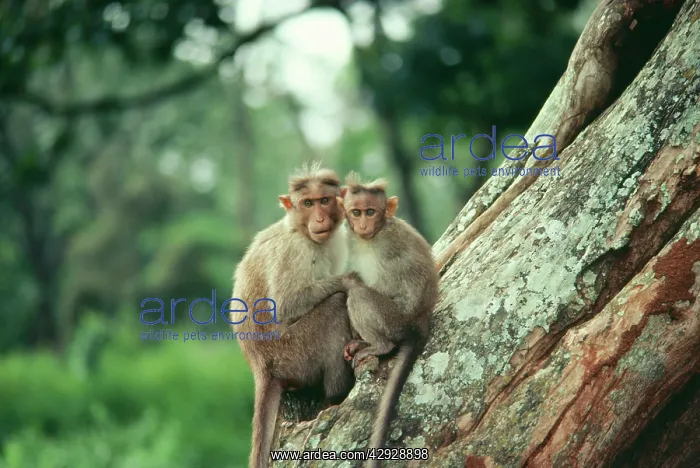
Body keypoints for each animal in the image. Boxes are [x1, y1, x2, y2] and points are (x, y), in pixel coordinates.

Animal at [231, 162, 356, 468]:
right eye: (307, 203)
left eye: (324, 200)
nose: (320, 218)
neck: (300, 230)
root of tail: (260, 366)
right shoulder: (293, 251)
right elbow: (288, 305)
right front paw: (351, 279)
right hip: (293, 353)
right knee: (335, 306)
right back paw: (337, 394)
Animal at [337, 172, 439, 464]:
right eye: (356, 211)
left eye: (371, 211)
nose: (363, 224)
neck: (369, 239)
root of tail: (420, 324)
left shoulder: (389, 244)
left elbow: (394, 287)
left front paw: (348, 281)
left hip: (395, 321)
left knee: (360, 296)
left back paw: (379, 345)